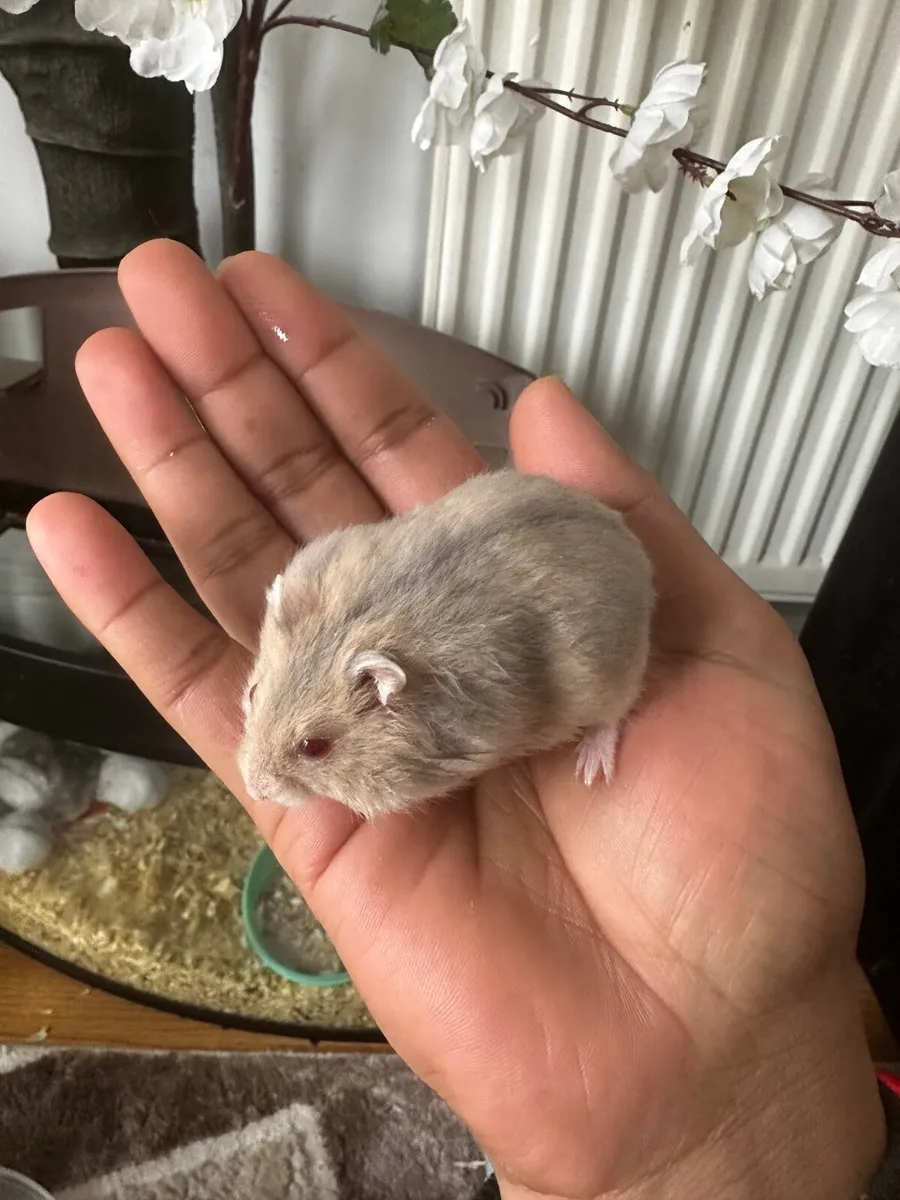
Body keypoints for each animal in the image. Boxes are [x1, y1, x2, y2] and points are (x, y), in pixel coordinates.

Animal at [238, 469, 654, 820]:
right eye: (253, 693)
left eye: (313, 747)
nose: (253, 789)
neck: (354, 623)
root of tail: (633, 548)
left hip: (607, 677)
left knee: (614, 713)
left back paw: (591, 767)